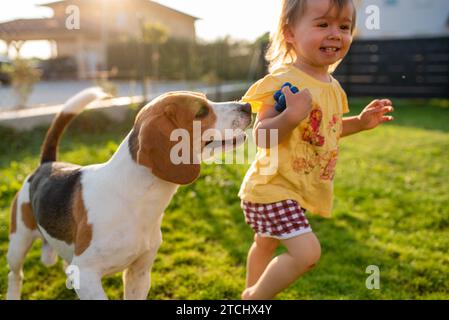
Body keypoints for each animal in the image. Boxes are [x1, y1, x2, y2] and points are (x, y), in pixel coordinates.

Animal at [6, 86, 252, 298]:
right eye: (201, 112)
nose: (247, 106)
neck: (135, 199)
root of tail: (48, 164)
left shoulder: (139, 273)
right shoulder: (87, 275)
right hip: (18, 243)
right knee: (15, 274)